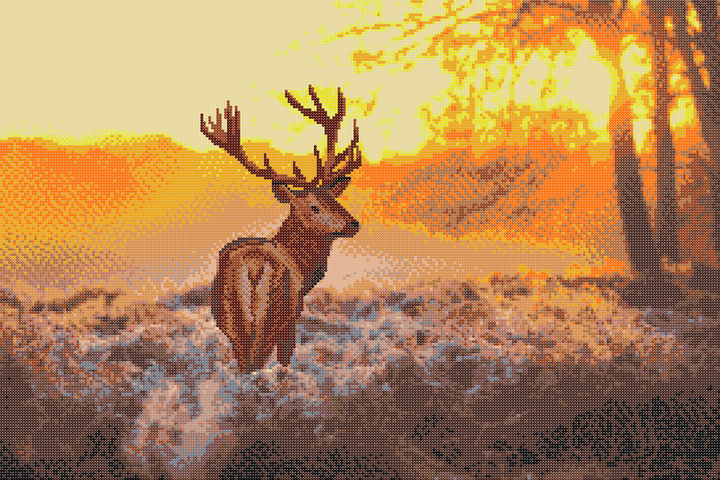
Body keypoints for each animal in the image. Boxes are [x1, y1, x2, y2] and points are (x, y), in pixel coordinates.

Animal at [201, 85, 362, 373]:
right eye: (314, 206)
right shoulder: (293, 317)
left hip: (233, 321)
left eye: (335, 199)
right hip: (274, 316)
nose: (353, 224)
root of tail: (254, 265)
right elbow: (286, 359)